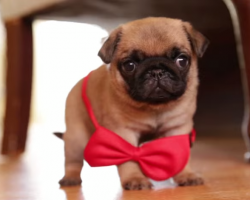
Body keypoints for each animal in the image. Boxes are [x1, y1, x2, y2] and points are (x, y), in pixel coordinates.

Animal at [58, 16, 209, 189]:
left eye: (182, 60)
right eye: (130, 65)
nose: (156, 71)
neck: (154, 107)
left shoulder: (177, 130)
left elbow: (179, 156)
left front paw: (186, 175)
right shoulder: (124, 133)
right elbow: (129, 158)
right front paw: (134, 178)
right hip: (76, 139)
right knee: (73, 162)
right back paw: (70, 178)